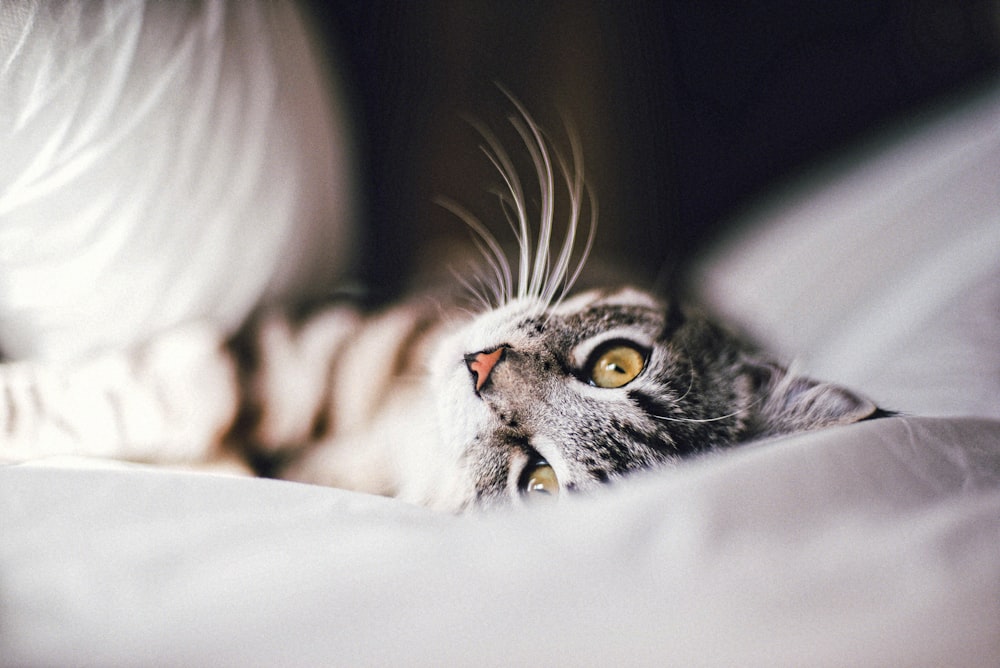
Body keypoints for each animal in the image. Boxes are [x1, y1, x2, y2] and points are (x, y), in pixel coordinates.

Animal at [0, 98, 884, 512]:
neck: (390, 436)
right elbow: (133, 389)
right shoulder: (290, 354)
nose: (481, 365)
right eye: (618, 364)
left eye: (540, 483)